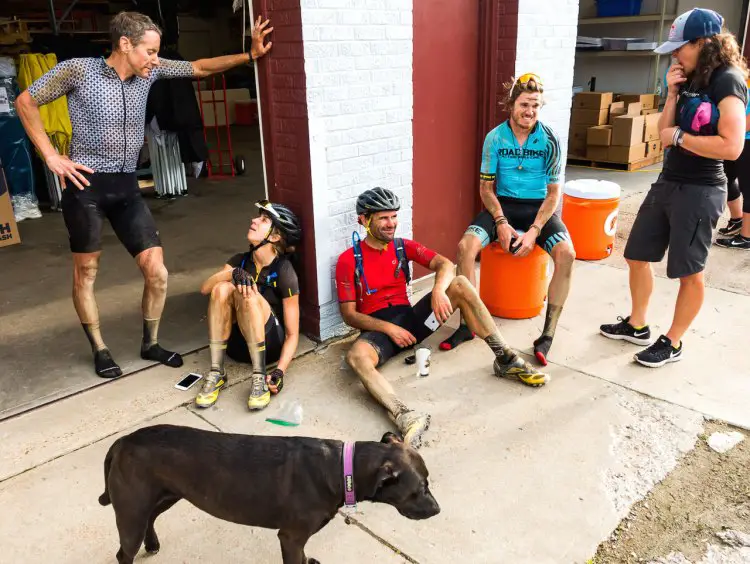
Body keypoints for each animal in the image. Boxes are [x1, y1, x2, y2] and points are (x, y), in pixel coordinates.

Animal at [100, 426, 440, 560]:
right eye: (420, 489)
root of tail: (123, 441)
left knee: (150, 519)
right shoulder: (290, 538)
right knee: (123, 553)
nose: (437, 510)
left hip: (164, 496)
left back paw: (152, 543)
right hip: (132, 510)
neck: (341, 468)